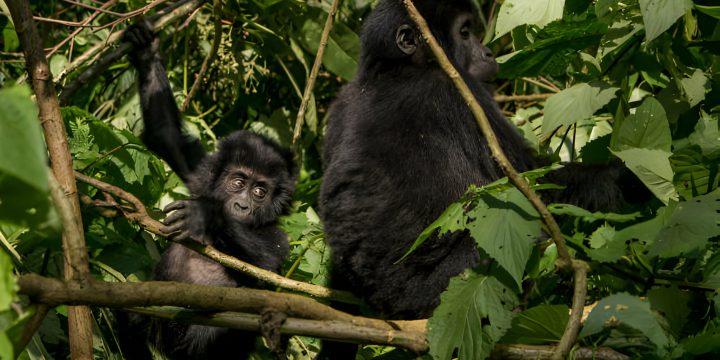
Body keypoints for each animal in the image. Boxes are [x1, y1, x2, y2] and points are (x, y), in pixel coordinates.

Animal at [318, 0, 644, 324]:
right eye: (464, 32)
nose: (488, 53)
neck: (390, 69)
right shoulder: (457, 90)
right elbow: (531, 184)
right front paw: (627, 179)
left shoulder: (340, 104)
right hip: (439, 292)